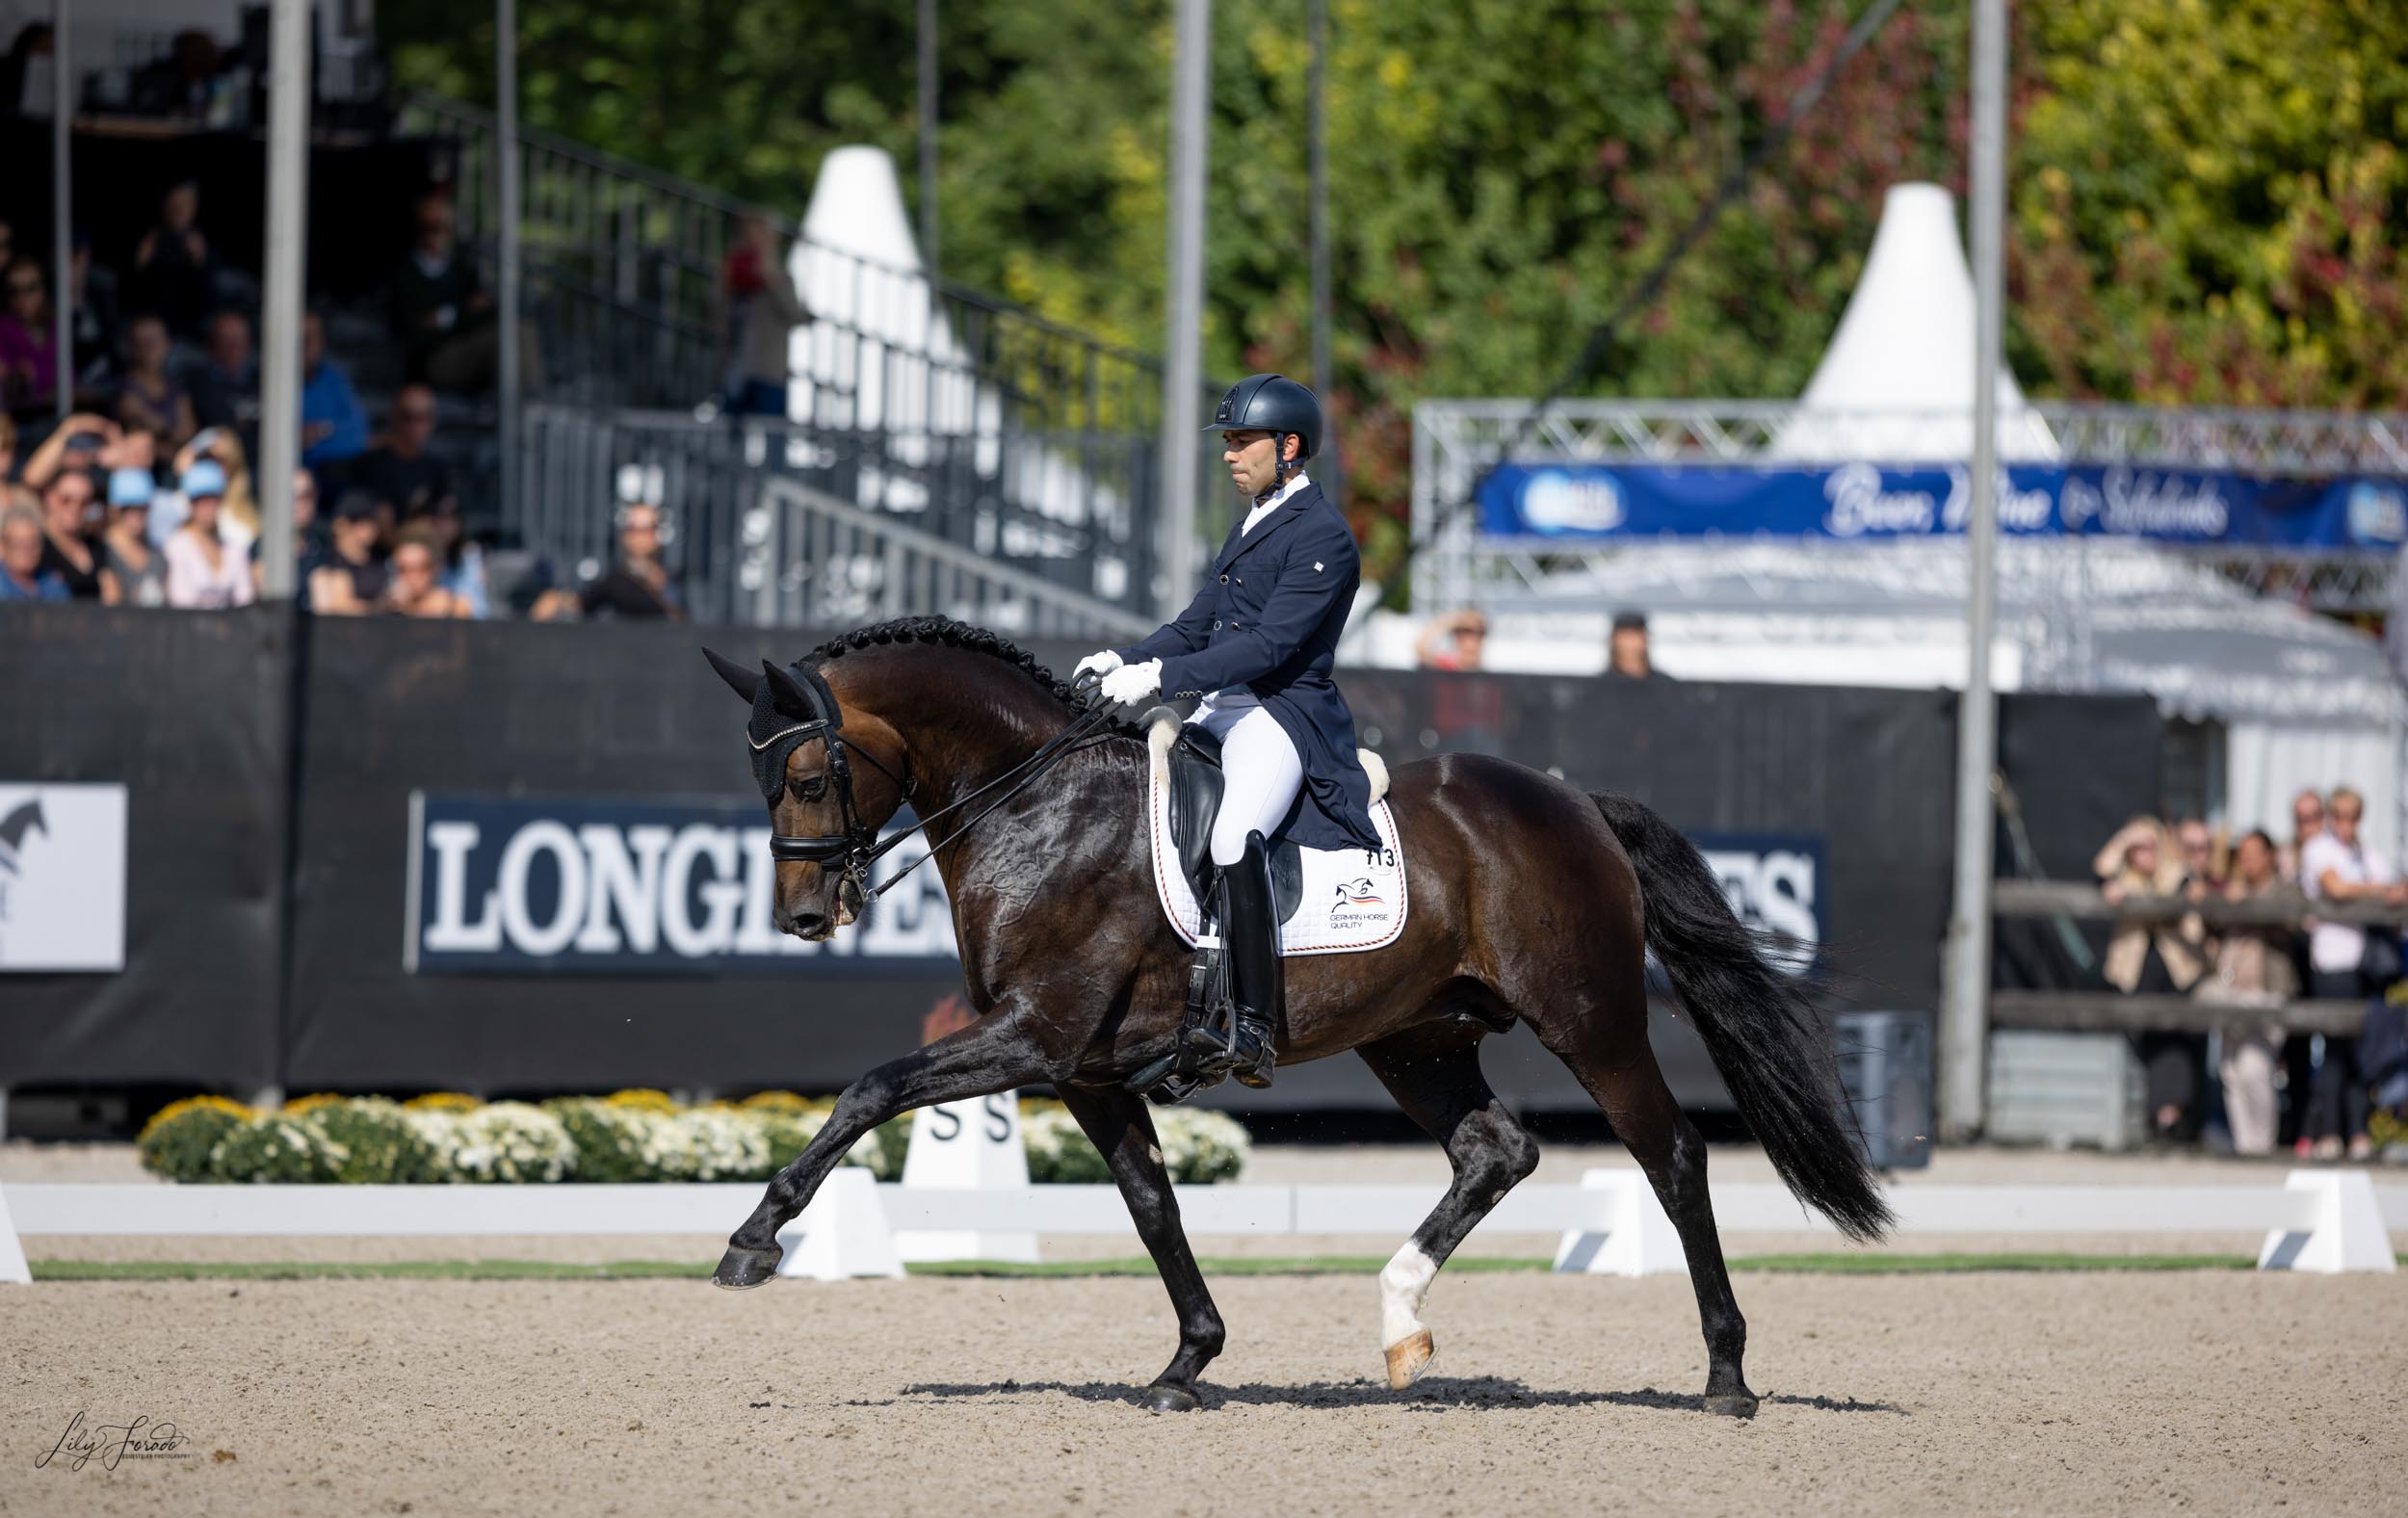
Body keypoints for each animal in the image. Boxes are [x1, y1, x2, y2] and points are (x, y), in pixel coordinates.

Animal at [703, 612, 1888, 1426]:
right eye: (764, 778)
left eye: (806, 773)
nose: (804, 915)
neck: (1034, 806)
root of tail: (1574, 801)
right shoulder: (1084, 1070)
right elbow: (1150, 1203)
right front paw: (1189, 1361)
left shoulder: (1037, 1036)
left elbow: (871, 1088)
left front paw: (755, 1241)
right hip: (1414, 1038)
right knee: (1494, 1151)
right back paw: (1401, 1323)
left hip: (1588, 1022)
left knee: (1672, 1155)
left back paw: (1726, 1374)